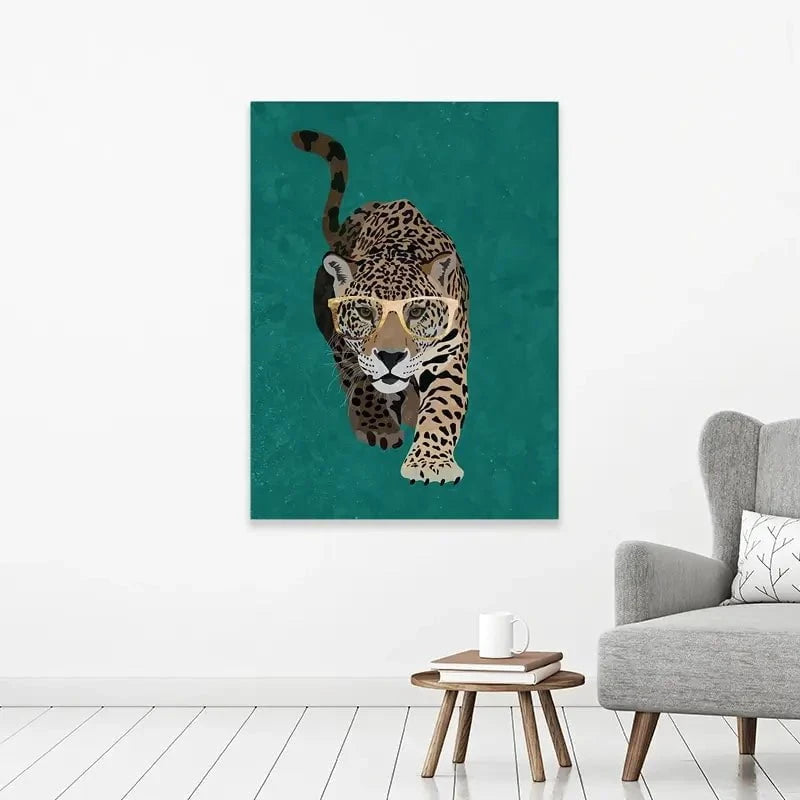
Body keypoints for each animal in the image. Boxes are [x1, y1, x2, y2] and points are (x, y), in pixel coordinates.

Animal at [291, 129, 470, 485]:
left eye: (416, 312)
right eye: (364, 311)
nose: (390, 357)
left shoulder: (448, 356)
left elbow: (443, 406)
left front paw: (431, 463)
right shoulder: (348, 347)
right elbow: (362, 383)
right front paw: (377, 426)